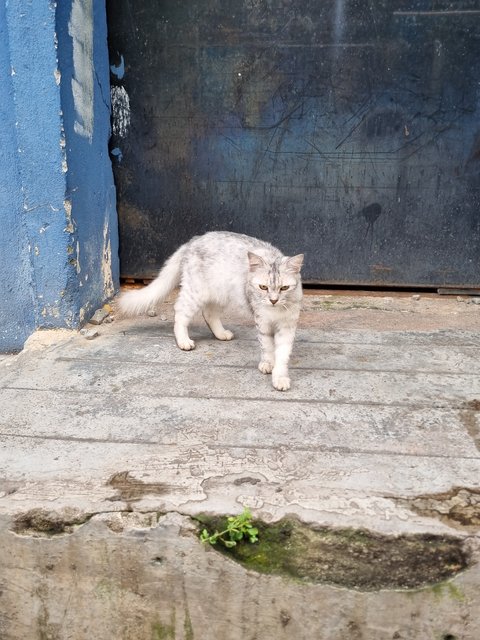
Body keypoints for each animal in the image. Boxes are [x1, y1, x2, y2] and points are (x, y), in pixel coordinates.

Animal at [117, 230, 304, 390]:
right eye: (263, 287)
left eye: (284, 288)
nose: (273, 300)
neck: (275, 311)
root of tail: (194, 240)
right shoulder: (262, 322)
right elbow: (267, 347)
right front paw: (267, 363)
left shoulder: (287, 327)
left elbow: (282, 354)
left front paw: (280, 377)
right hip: (195, 293)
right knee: (180, 312)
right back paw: (184, 341)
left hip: (220, 293)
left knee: (208, 314)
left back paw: (221, 334)